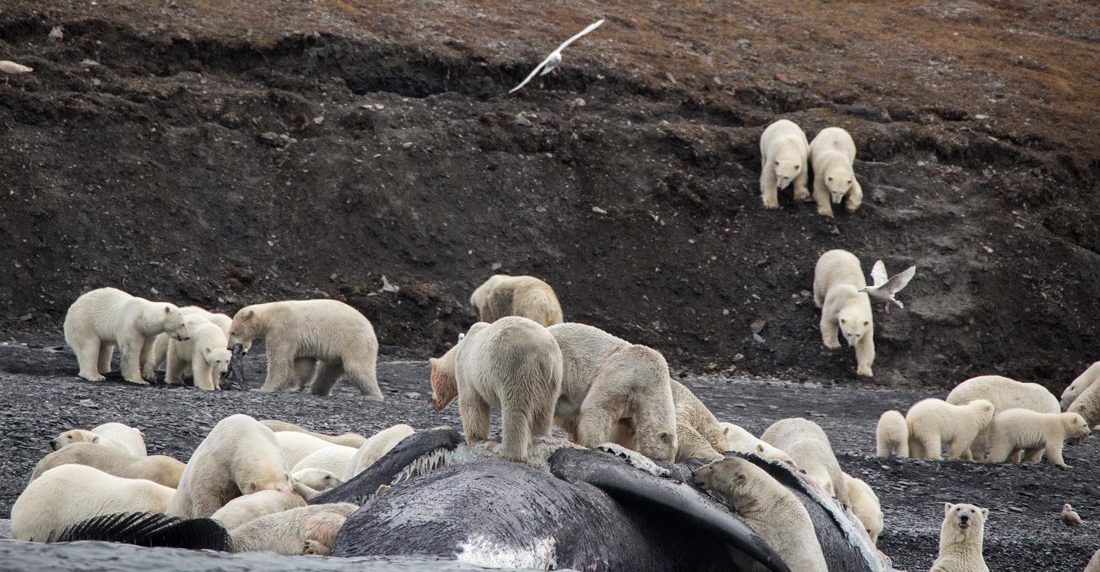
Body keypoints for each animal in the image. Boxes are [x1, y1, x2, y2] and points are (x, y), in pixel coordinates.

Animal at [228, 299, 381, 399]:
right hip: (339, 352)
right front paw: (294, 388)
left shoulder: (283, 329)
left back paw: (373, 394)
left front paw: (263, 389)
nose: (230, 347)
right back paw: (317, 391)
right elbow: (303, 363)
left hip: (354, 341)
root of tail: (371, 329)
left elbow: (279, 360)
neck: (271, 315)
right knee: (327, 371)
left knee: (357, 367)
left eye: (233, 332)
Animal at [429, 317, 563, 463]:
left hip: (515, 368)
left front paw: (475, 439)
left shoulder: (467, 370)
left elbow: (471, 403)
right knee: (544, 411)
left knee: (515, 410)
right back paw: (539, 437)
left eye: (432, 382)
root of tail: (544, 354)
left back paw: (508, 452)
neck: (460, 349)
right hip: (552, 379)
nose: (432, 402)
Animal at [547, 323, 678, 462]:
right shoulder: (628, 373)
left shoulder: (632, 411)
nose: (667, 463)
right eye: (662, 458)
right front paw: (597, 444)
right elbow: (599, 405)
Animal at [694, 457, 828, 572]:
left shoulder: (776, 528)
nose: (694, 473)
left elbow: (747, 555)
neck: (766, 501)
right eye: (711, 462)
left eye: (711, 467)